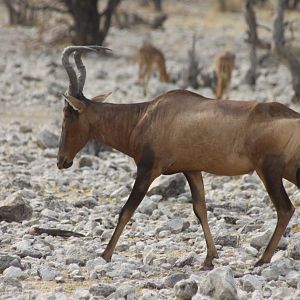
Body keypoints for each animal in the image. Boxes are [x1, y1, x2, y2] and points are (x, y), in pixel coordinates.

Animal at [58, 45, 298, 270]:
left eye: (67, 114)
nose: (62, 161)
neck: (146, 115)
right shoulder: (192, 170)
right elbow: (200, 209)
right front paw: (209, 259)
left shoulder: (148, 170)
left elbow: (126, 210)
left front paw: (105, 255)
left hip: (269, 171)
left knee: (285, 208)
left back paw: (262, 260)